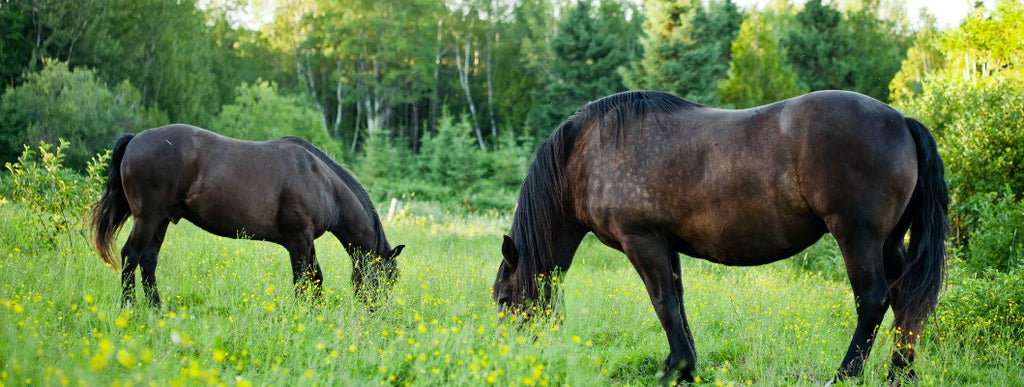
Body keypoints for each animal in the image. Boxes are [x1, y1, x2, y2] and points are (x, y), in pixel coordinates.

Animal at [91, 123, 403, 309]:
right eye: (386, 278)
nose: (379, 313)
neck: (322, 182)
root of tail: (135, 139)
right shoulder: (298, 240)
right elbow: (303, 280)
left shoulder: (306, 240)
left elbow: (315, 279)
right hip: (147, 217)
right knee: (131, 256)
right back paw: (129, 307)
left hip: (162, 220)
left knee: (148, 261)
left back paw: (156, 308)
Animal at [491, 90, 946, 384]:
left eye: (503, 300)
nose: (513, 359)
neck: (586, 155)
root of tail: (902, 122)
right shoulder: (666, 245)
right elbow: (677, 304)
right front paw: (685, 368)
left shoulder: (642, 242)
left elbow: (664, 305)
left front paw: (675, 369)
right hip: (889, 243)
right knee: (906, 300)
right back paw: (900, 374)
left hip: (858, 237)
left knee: (873, 300)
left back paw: (845, 375)